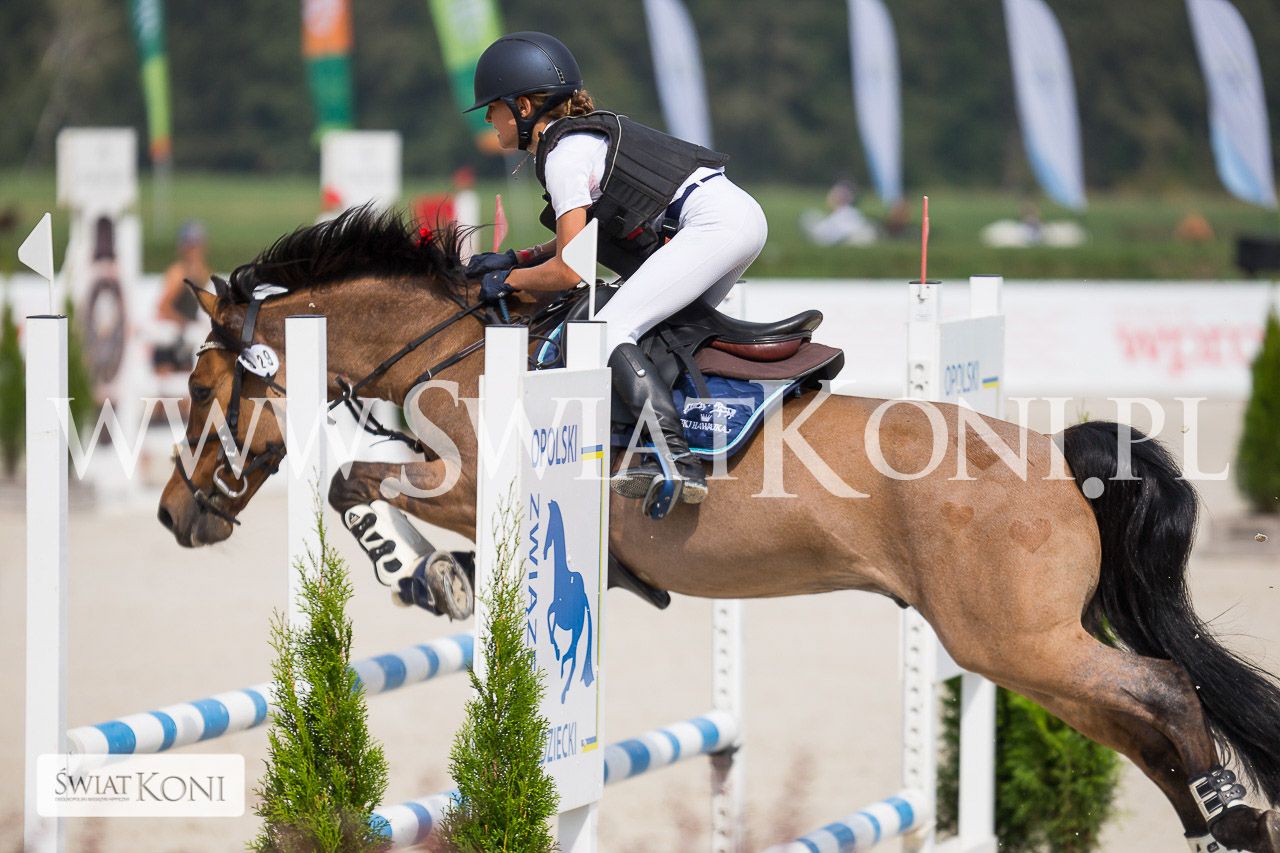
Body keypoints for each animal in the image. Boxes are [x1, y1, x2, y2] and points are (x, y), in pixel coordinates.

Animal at [157, 207, 1280, 852]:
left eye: (201, 385)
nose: (176, 514)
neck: (458, 347)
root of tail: (1058, 461)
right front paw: (449, 579)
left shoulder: (468, 475)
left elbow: (352, 479)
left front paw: (412, 571)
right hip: (1025, 647)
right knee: (1141, 717)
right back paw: (1218, 822)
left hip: (1011, 639)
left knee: (1161, 690)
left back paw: (1230, 811)